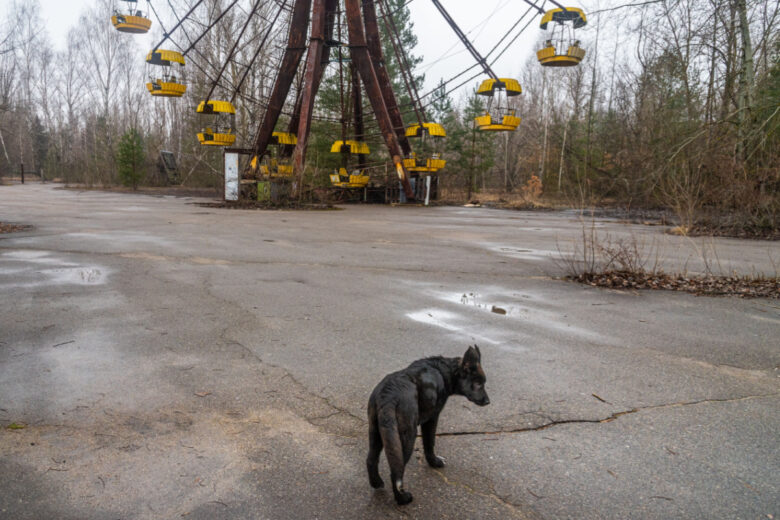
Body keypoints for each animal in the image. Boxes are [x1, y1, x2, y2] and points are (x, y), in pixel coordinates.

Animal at [366, 346, 488, 504]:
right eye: (478, 384)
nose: (488, 401)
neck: (446, 371)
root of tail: (389, 394)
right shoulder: (432, 418)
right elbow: (430, 443)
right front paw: (434, 462)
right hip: (407, 436)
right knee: (396, 472)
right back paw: (402, 499)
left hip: (377, 432)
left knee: (371, 460)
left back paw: (377, 483)